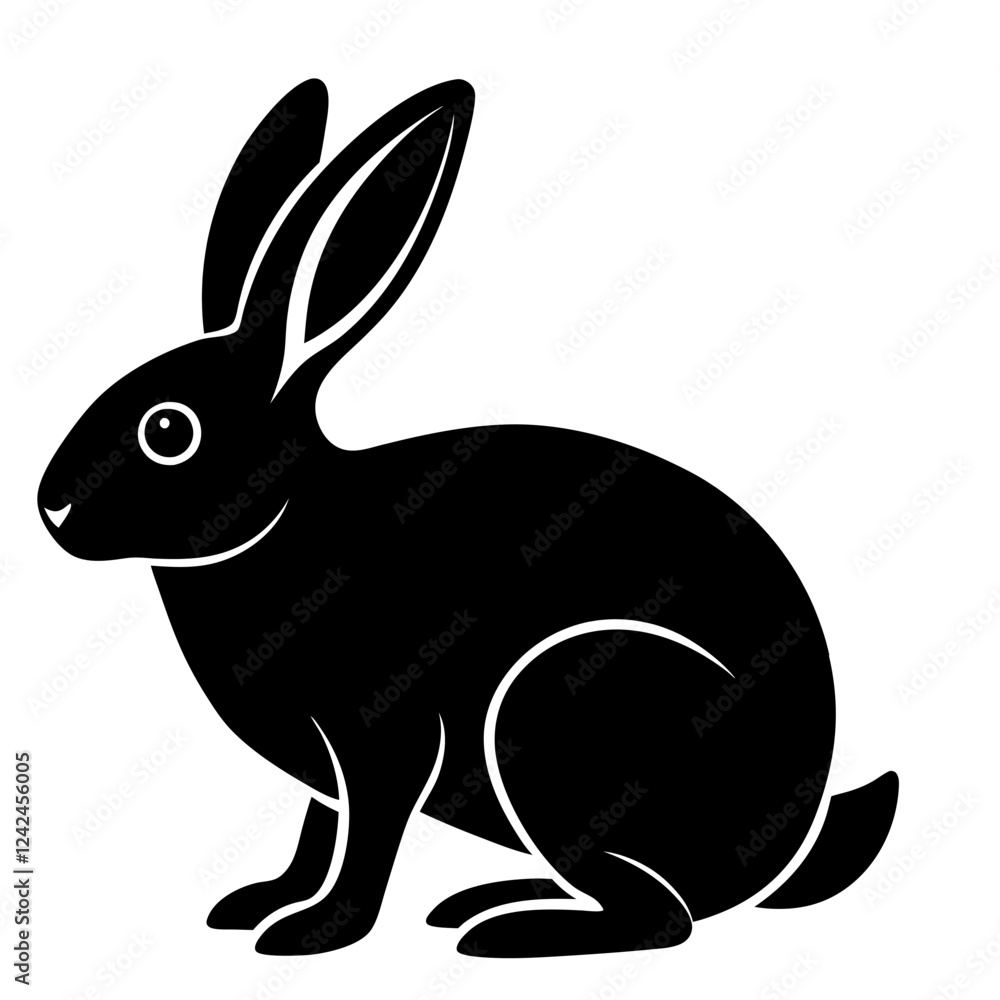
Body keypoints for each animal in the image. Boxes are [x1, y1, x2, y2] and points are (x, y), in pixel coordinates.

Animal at [38, 78, 898, 959]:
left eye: (168, 430)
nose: (53, 508)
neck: (281, 516)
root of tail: (790, 838)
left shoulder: (383, 737)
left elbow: (367, 837)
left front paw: (313, 931)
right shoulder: (328, 773)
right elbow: (320, 831)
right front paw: (260, 902)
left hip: (559, 716)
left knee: (665, 917)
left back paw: (508, 932)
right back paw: (484, 902)